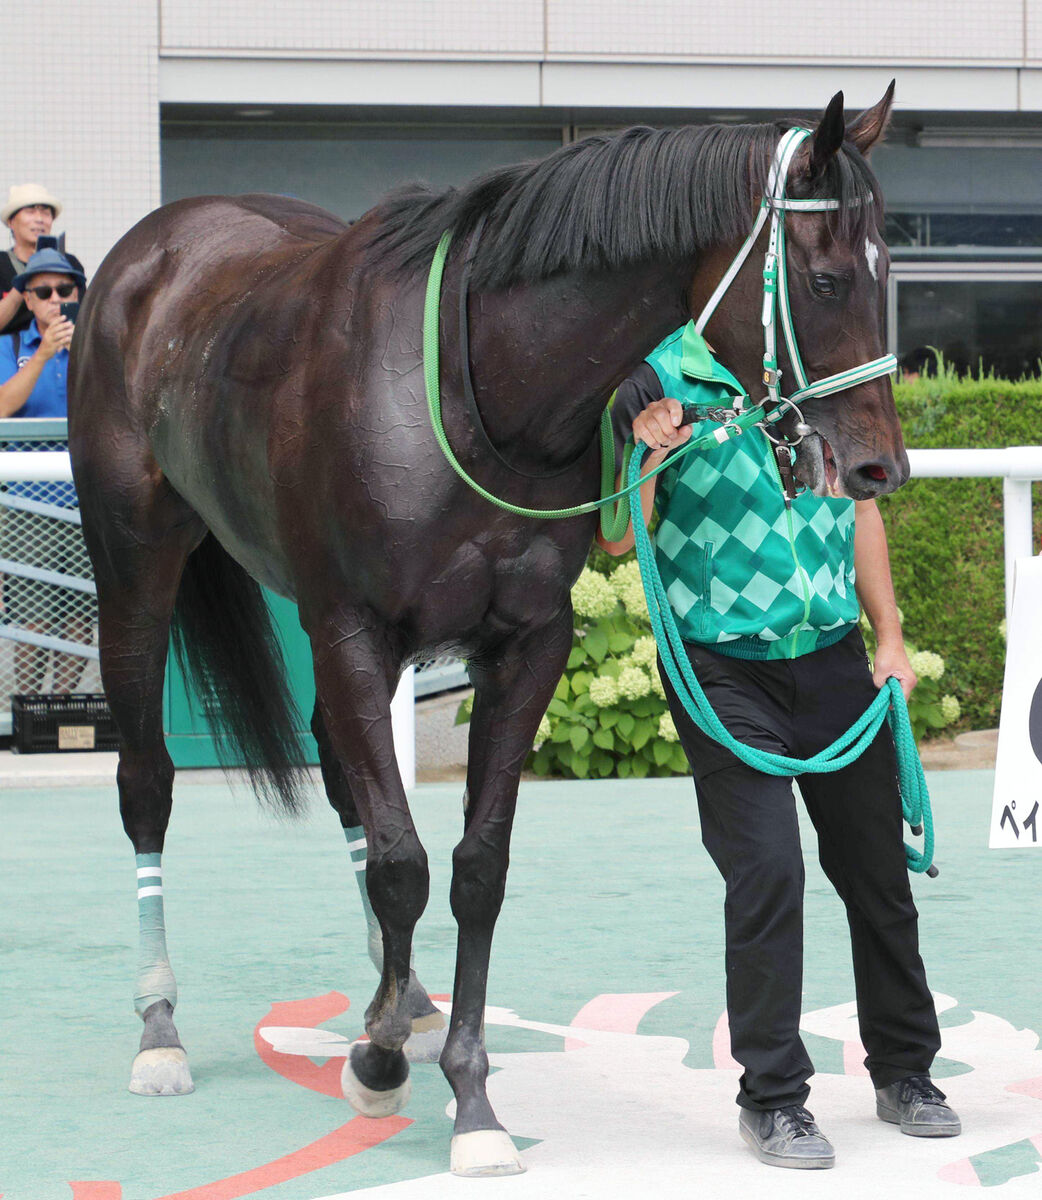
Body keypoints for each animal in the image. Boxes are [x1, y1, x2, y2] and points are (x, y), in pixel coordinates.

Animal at [69, 87, 902, 1180]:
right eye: (826, 277)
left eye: (891, 267)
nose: (880, 467)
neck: (487, 391)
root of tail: (159, 239)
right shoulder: (354, 629)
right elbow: (402, 863)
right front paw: (379, 1062)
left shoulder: (527, 643)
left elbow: (474, 866)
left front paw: (465, 1094)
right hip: (135, 562)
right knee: (148, 784)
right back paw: (161, 1028)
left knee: (340, 775)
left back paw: (404, 997)